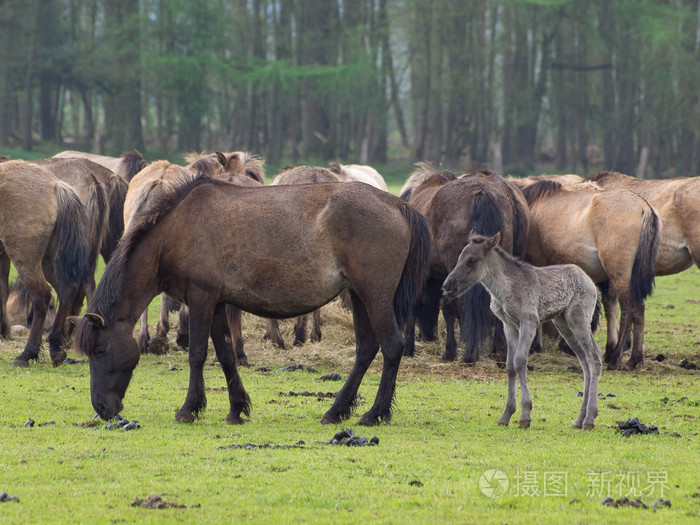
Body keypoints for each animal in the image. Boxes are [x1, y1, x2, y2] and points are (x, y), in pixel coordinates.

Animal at [0, 160, 91, 364]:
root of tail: (55, 184)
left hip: (26, 258)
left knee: (42, 295)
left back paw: (28, 353)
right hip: (47, 260)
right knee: (66, 291)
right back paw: (56, 346)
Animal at [72, 176, 432, 426]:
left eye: (100, 351)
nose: (101, 408)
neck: (177, 230)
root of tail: (397, 205)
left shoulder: (200, 299)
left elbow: (198, 354)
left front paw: (189, 409)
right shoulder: (216, 303)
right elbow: (226, 355)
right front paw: (236, 409)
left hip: (375, 296)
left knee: (392, 346)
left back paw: (374, 413)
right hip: (358, 296)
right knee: (366, 349)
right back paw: (336, 410)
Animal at [402, 166, 528, 362]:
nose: (427, 336)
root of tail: (482, 193)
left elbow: (425, 304)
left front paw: (411, 346)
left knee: (456, 306)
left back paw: (464, 354)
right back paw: (497, 352)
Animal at [442, 231, 600, 428]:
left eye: (471, 260)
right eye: (459, 258)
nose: (447, 286)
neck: (504, 289)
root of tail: (593, 284)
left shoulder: (529, 322)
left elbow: (520, 361)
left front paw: (525, 415)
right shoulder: (509, 326)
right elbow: (510, 366)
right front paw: (506, 415)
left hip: (578, 319)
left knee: (594, 357)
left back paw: (589, 418)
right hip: (564, 324)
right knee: (584, 362)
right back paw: (579, 419)